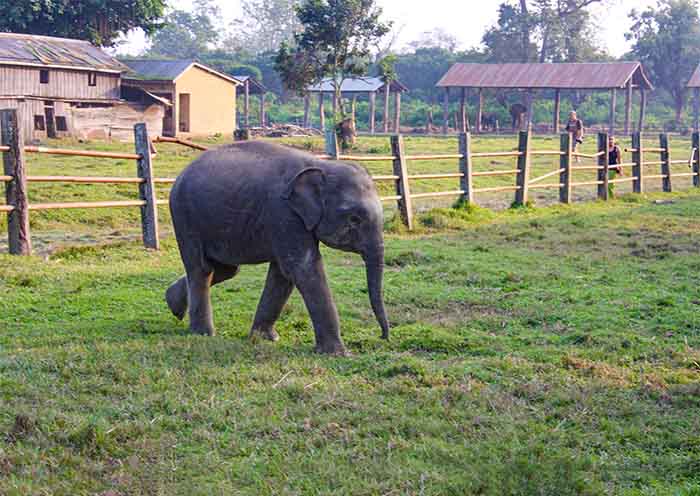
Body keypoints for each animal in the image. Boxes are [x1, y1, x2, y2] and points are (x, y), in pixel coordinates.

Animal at [165, 141, 390, 355]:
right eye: (354, 219)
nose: (382, 337)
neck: (321, 165)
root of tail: (180, 175)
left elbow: (282, 274)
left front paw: (265, 339)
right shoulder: (283, 213)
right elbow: (303, 268)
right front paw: (338, 354)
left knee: (225, 269)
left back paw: (173, 304)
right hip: (184, 217)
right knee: (201, 268)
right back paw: (203, 333)